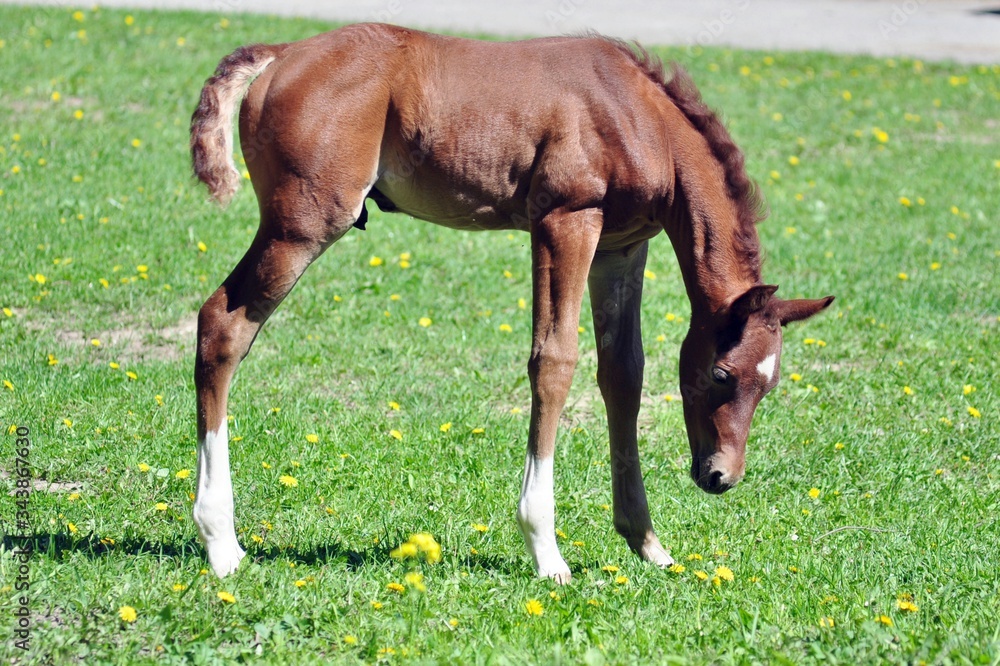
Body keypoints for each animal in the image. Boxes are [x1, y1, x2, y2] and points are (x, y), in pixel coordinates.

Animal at [189, 23, 833, 582]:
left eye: (769, 385)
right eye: (722, 374)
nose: (723, 476)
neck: (641, 117)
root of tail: (283, 52)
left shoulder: (621, 247)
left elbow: (623, 373)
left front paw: (646, 541)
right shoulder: (565, 222)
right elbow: (554, 362)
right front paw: (546, 550)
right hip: (305, 223)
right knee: (222, 325)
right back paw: (220, 542)